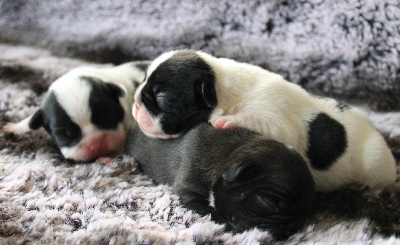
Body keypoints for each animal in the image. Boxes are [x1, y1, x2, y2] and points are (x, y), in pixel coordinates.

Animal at [2, 60, 150, 163]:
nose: (96, 144)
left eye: (107, 117)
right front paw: (13, 127)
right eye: (66, 134)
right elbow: (31, 121)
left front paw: (110, 157)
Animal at [125, 121, 316, 240]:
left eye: (305, 212)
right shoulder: (190, 192)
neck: (229, 153)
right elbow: (212, 212)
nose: (292, 226)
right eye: (268, 201)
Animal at [134, 49, 396, 191]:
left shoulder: (275, 118)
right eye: (143, 80)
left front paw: (227, 121)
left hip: (375, 164)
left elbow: (263, 121)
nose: (136, 101)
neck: (223, 88)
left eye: (162, 97)